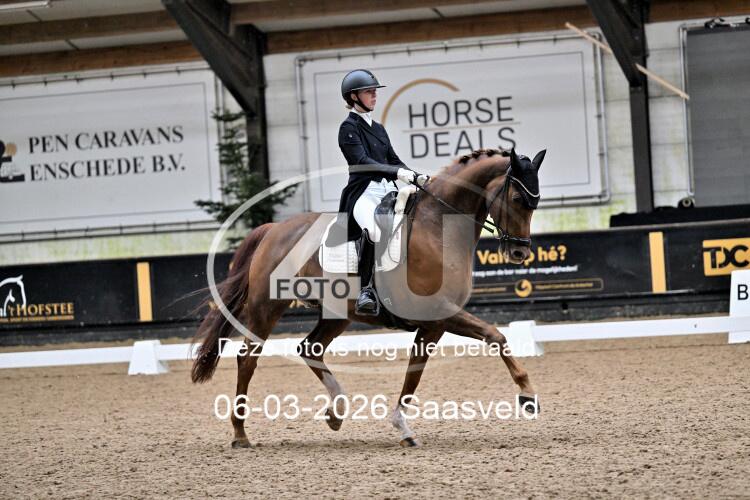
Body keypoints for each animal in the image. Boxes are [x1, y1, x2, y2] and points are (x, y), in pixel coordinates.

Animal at [191, 147, 545, 448]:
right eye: (517, 197)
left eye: (536, 202)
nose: (519, 253)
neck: (438, 229)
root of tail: (273, 229)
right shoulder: (441, 312)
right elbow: (495, 335)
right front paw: (527, 396)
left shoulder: (434, 323)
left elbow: (415, 371)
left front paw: (403, 427)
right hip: (266, 307)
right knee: (247, 359)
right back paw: (240, 434)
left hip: (337, 314)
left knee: (309, 348)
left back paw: (336, 412)